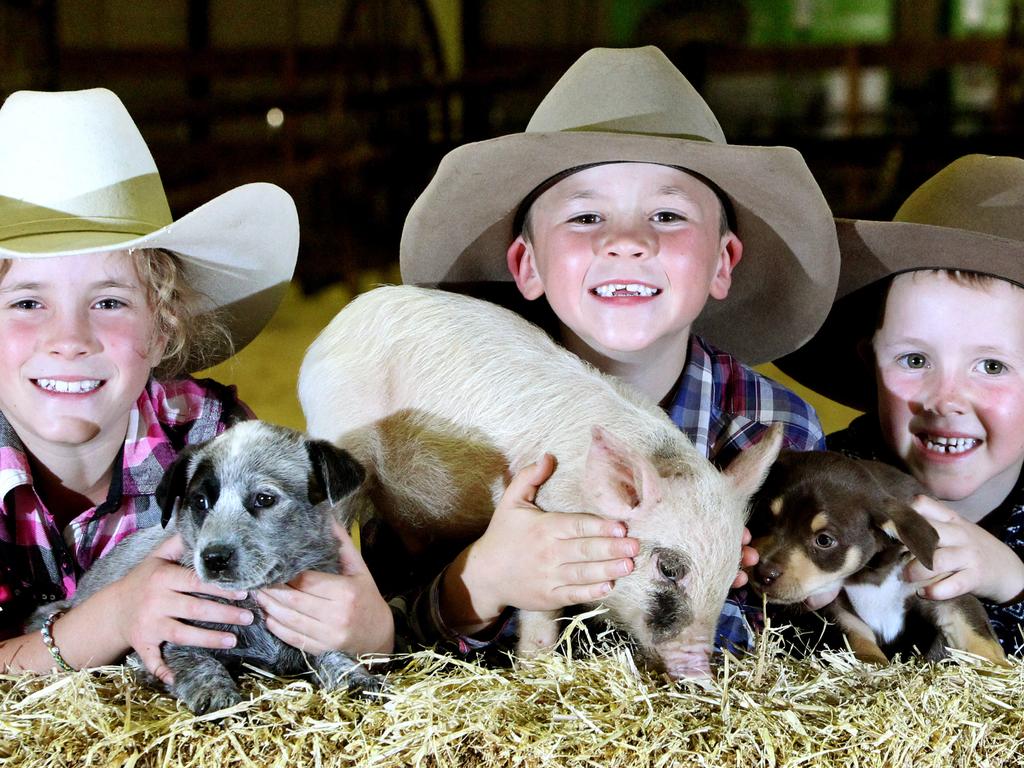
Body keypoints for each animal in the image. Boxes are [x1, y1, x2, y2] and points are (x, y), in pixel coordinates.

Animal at [33, 421, 385, 716]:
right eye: (200, 502)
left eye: (264, 499)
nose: (213, 558)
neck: (253, 602)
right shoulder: (171, 640)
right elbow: (198, 663)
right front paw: (217, 696)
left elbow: (329, 651)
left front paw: (355, 677)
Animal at [299, 286, 778, 679]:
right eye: (670, 569)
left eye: (734, 570)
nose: (699, 672)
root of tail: (329, 334)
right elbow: (538, 617)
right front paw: (538, 669)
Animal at [749, 450, 1003, 667]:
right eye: (765, 517)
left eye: (824, 540)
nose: (762, 573)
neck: (872, 573)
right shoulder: (836, 608)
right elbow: (856, 635)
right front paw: (873, 664)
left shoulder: (943, 589)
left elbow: (976, 632)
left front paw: (999, 667)